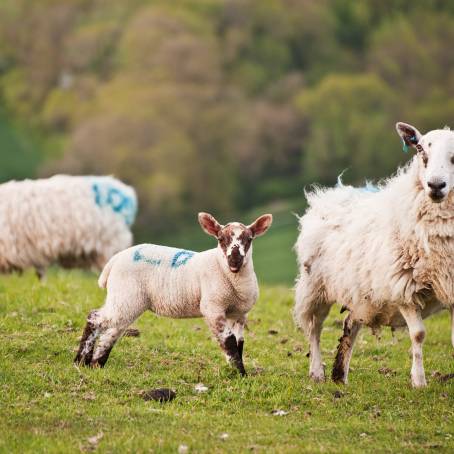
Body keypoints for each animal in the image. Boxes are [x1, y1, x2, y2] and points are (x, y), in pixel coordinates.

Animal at [75, 211, 274, 374]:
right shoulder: (213, 308)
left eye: (249, 239)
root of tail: (115, 259)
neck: (224, 270)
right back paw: (80, 361)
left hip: (127, 300)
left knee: (111, 332)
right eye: (220, 239)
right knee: (95, 318)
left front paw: (238, 371)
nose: (235, 260)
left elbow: (239, 344)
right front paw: (240, 374)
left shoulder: (239, 314)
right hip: (126, 295)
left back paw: (96, 364)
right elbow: (229, 342)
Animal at [292, 122, 454, 388]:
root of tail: (333, 192)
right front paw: (419, 382)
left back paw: (340, 374)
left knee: (350, 323)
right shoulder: (403, 288)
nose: (436, 185)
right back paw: (317, 372)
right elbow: (418, 334)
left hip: (360, 293)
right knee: (314, 327)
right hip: (315, 286)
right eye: (420, 149)